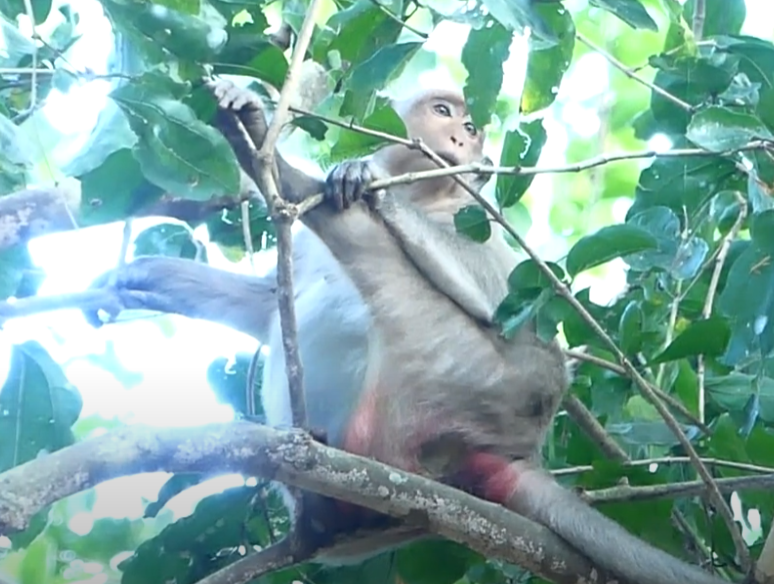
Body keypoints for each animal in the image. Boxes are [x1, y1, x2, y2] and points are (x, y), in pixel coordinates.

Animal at [80, 80, 732, 584]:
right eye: (445, 112)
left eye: (468, 125)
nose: (464, 138)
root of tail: (518, 451)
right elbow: (266, 303)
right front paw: (146, 277)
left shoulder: (481, 224)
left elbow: (520, 323)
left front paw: (341, 169)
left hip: (465, 379)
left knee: (379, 262)